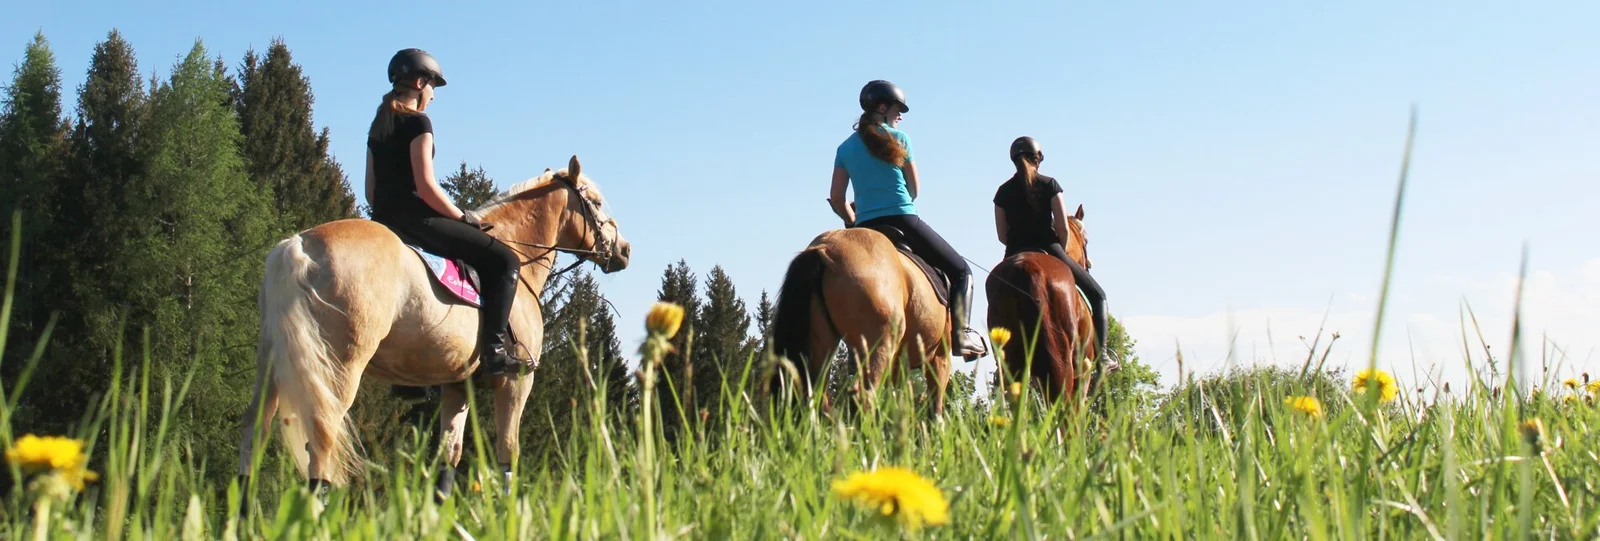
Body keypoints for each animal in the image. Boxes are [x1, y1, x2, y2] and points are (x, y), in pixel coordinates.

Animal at [237, 156, 630, 500]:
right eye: (596, 202)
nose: (624, 250)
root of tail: (300, 245)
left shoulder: (457, 385)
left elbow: (448, 456)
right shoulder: (516, 381)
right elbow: (508, 454)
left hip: (273, 363)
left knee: (255, 429)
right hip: (339, 368)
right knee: (322, 436)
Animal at [767, 225, 967, 416]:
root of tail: (825, 247)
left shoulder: (899, 367)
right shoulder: (940, 358)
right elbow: (935, 410)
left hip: (822, 344)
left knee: (816, 396)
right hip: (880, 343)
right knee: (863, 395)